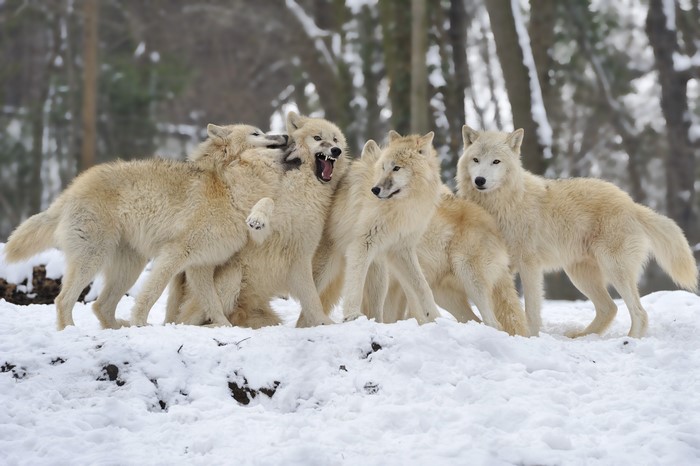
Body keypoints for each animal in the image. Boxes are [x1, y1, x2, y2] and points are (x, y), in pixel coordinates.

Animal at [3, 124, 288, 330]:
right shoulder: (174, 254)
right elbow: (151, 294)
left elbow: (214, 304)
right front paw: (140, 322)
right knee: (63, 300)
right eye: (257, 133)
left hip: (130, 267)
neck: (230, 189)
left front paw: (225, 328)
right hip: (93, 260)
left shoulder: (201, 266)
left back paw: (118, 329)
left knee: (100, 306)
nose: (285, 135)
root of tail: (70, 190)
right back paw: (72, 332)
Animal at [166, 112, 349, 329]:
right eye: (318, 138)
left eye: (335, 139)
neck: (303, 188)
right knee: (192, 320)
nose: (336, 150)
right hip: (232, 277)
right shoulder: (260, 231)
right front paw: (257, 218)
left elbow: (312, 300)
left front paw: (323, 323)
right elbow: (267, 201)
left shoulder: (301, 255)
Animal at [309, 131, 443, 325]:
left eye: (397, 168)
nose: (375, 190)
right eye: (384, 167)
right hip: (323, 271)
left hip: (379, 277)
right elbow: (355, 285)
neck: (402, 206)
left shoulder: (401, 250)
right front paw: (352, 315)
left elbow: (423, 287)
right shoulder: (363, 243)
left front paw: (436, 318)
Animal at [457, 125, 698, 338]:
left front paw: (530, 337)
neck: (503, 204)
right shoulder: (500, 267)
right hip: (580, 275)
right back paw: (582, 336)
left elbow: (531, 310)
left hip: (613, 269)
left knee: (639, 312)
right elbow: (504, 308)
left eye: (496, 161)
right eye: (475, 160)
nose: (480, 180)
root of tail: (632, 204)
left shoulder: (529, 265)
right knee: (610, 308)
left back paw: (630, 341)